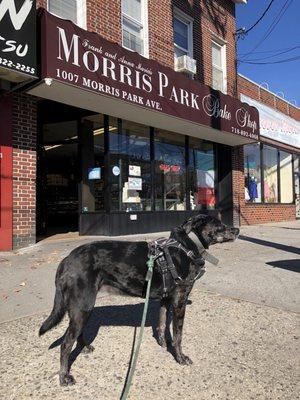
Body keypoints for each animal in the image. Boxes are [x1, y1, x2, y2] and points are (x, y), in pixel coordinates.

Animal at [39, 214, 239, 386]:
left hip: (82, 308)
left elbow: (161, 324)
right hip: (83, 305)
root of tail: (67, 259)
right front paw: (180, 357)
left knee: (74, 333)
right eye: (219, 224)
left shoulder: (165, 300)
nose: (237, 230)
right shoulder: (179, 302)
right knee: (65, 344)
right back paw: (64, 377)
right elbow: (178, 336)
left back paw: (85, 348)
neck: (186, 246)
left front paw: (163, 344)